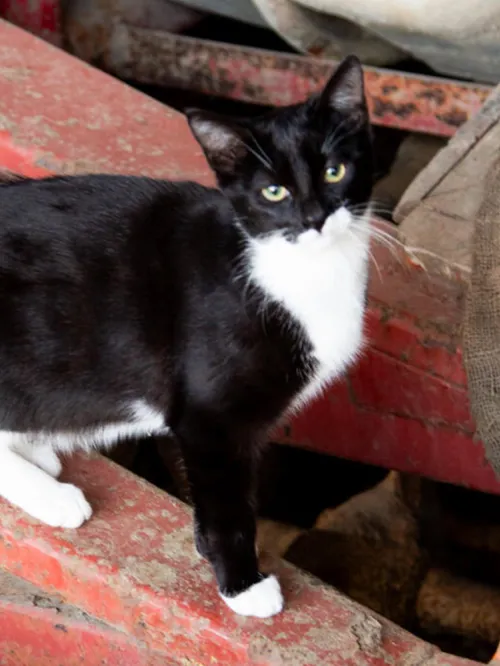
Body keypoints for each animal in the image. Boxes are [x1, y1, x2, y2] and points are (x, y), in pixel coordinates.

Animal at [0, 55, 374, 616]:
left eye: (336, 170)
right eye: (274, 191)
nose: (315, 218)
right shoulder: (210, 418)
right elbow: (226, 498)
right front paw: (243, 585)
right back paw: (51, 495)